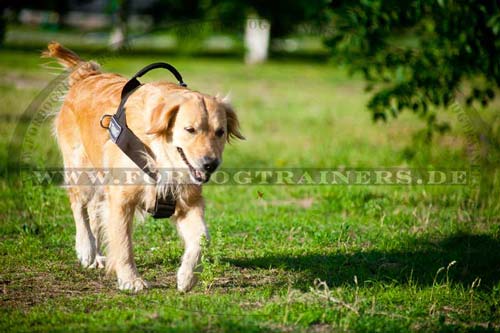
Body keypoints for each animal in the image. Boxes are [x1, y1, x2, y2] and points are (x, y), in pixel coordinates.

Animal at [43, 42, 242, 290]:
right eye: (190, 129)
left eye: (220, 132)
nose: (210, 164)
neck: (160, 155)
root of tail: (88, 74)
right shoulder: (121, 199)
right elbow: (123, 244)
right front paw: (130, 280)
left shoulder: (188, 201)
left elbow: (202, 238)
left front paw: (188, 275)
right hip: (82, 171)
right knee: (79, 206)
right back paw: (86, 249)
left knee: (94, 211)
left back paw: (97, 254)